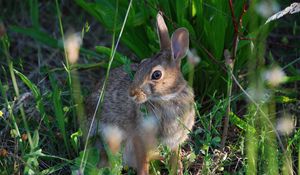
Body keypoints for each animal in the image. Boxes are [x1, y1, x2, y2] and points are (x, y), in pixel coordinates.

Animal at [86, 12, 195, 175]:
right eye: (141, 63)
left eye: (156, 75)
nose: (132, 93)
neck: (167, 98)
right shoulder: (139, 138)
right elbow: (142, 162)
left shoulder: (175, 140)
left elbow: (173, 155)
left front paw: (177, 168)